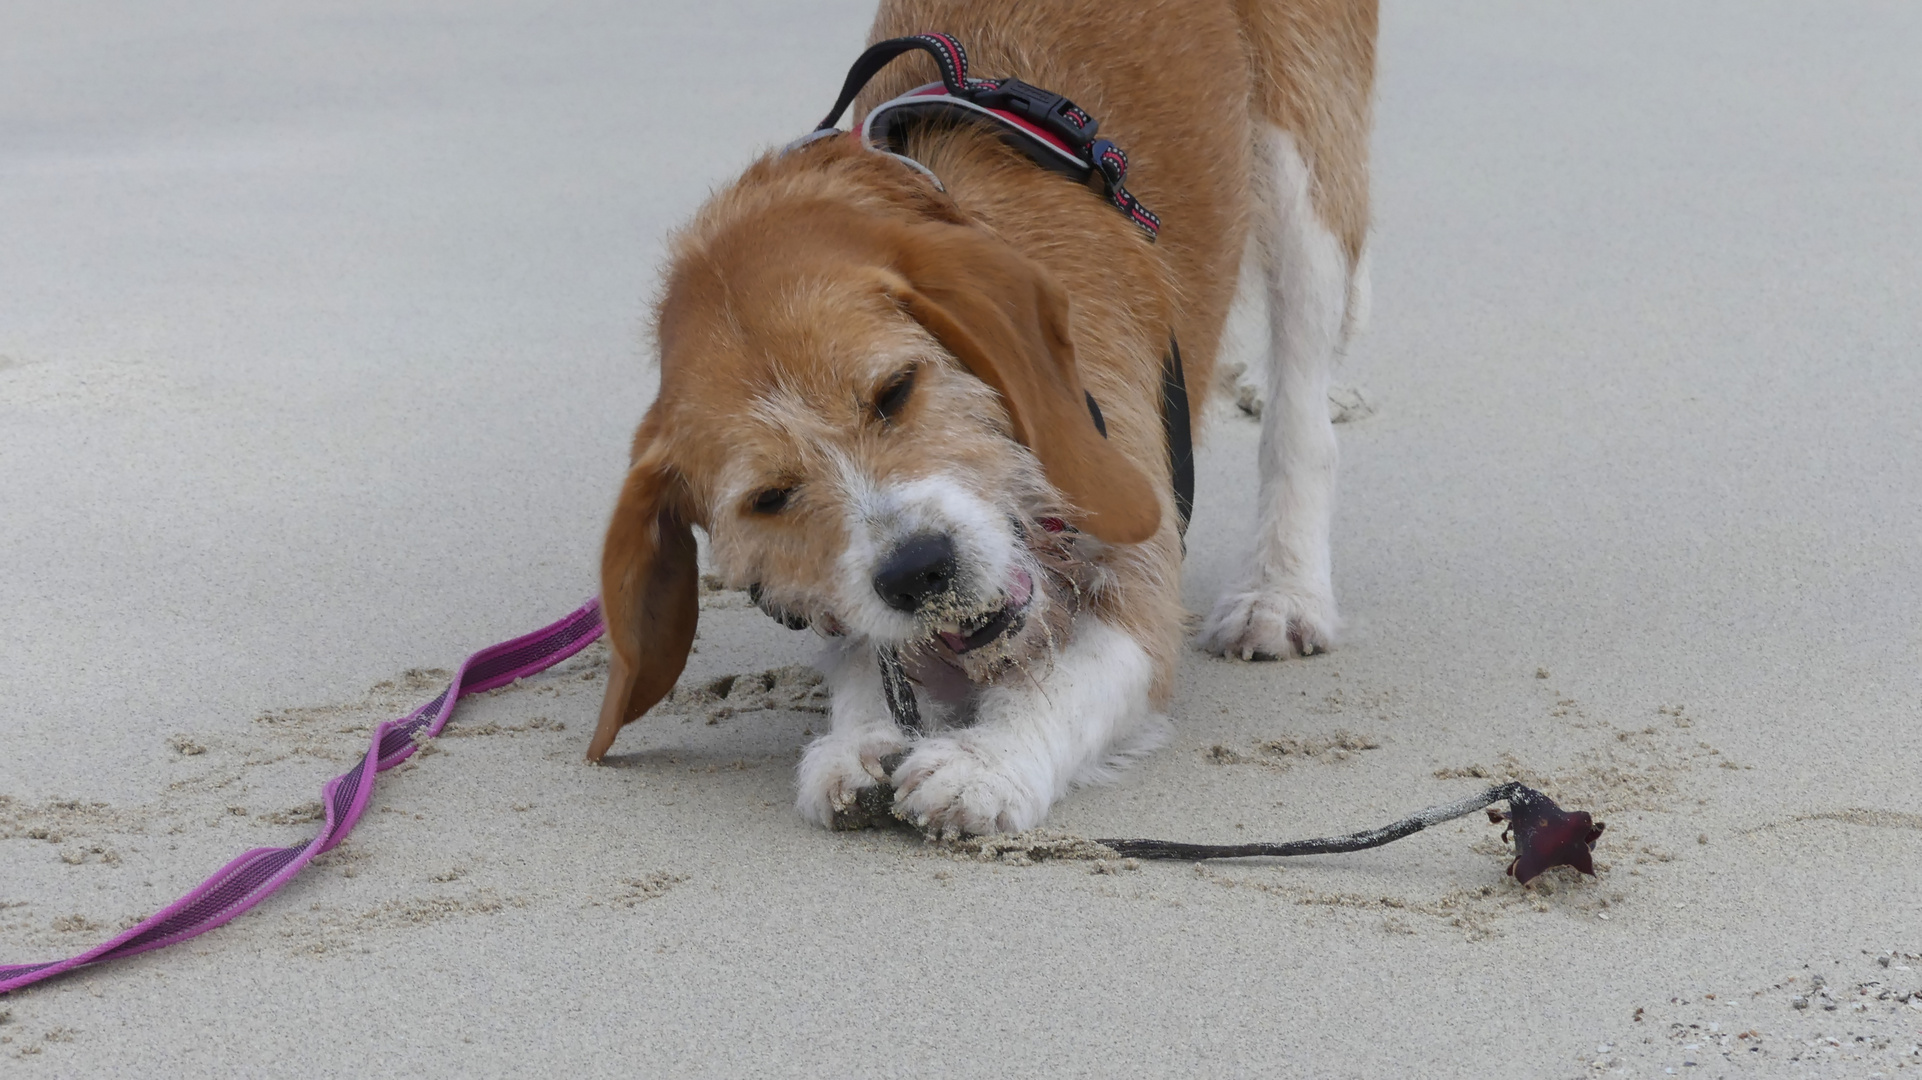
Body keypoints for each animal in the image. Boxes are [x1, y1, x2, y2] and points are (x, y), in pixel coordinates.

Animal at [588, 0, 1383, 834]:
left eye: (896, 389)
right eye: (768, 499)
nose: (916, 570)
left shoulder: (1139, 561)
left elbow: (1073, 681)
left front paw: (988, 762)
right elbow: (869, 663)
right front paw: (859, 742)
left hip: (1303, 176)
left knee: (1302, 404)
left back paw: (1281, 591)